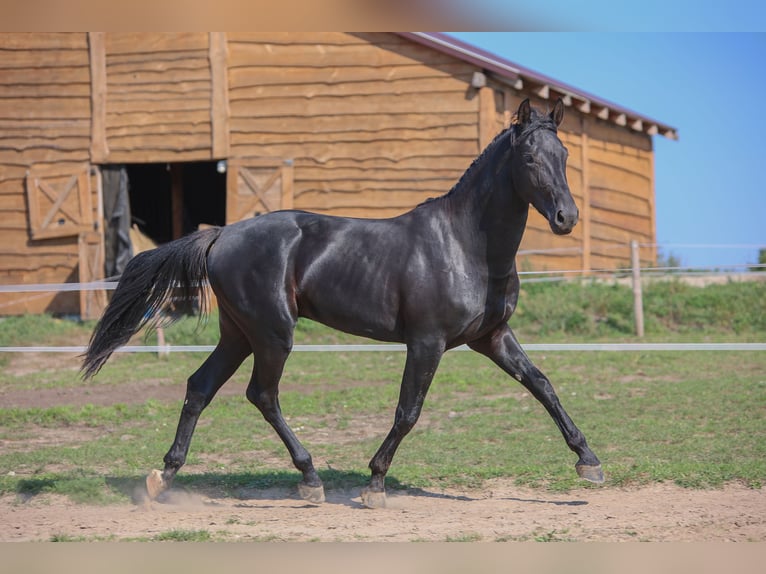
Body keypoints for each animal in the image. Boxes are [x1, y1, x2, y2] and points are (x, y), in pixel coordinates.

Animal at [82, 99, 600, 508]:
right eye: (529, 157)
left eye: (564, 155)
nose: (566, 217)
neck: (464, 244)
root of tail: (222, 234)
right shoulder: (426, 342)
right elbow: (408, 411)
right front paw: (374, 484)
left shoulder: (492, 337)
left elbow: (542, 385)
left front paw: (589, 462)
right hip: (273, 334)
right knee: (262, 395)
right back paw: (310, 479)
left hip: (239, 334)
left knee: (200, 387)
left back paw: (162, 478)